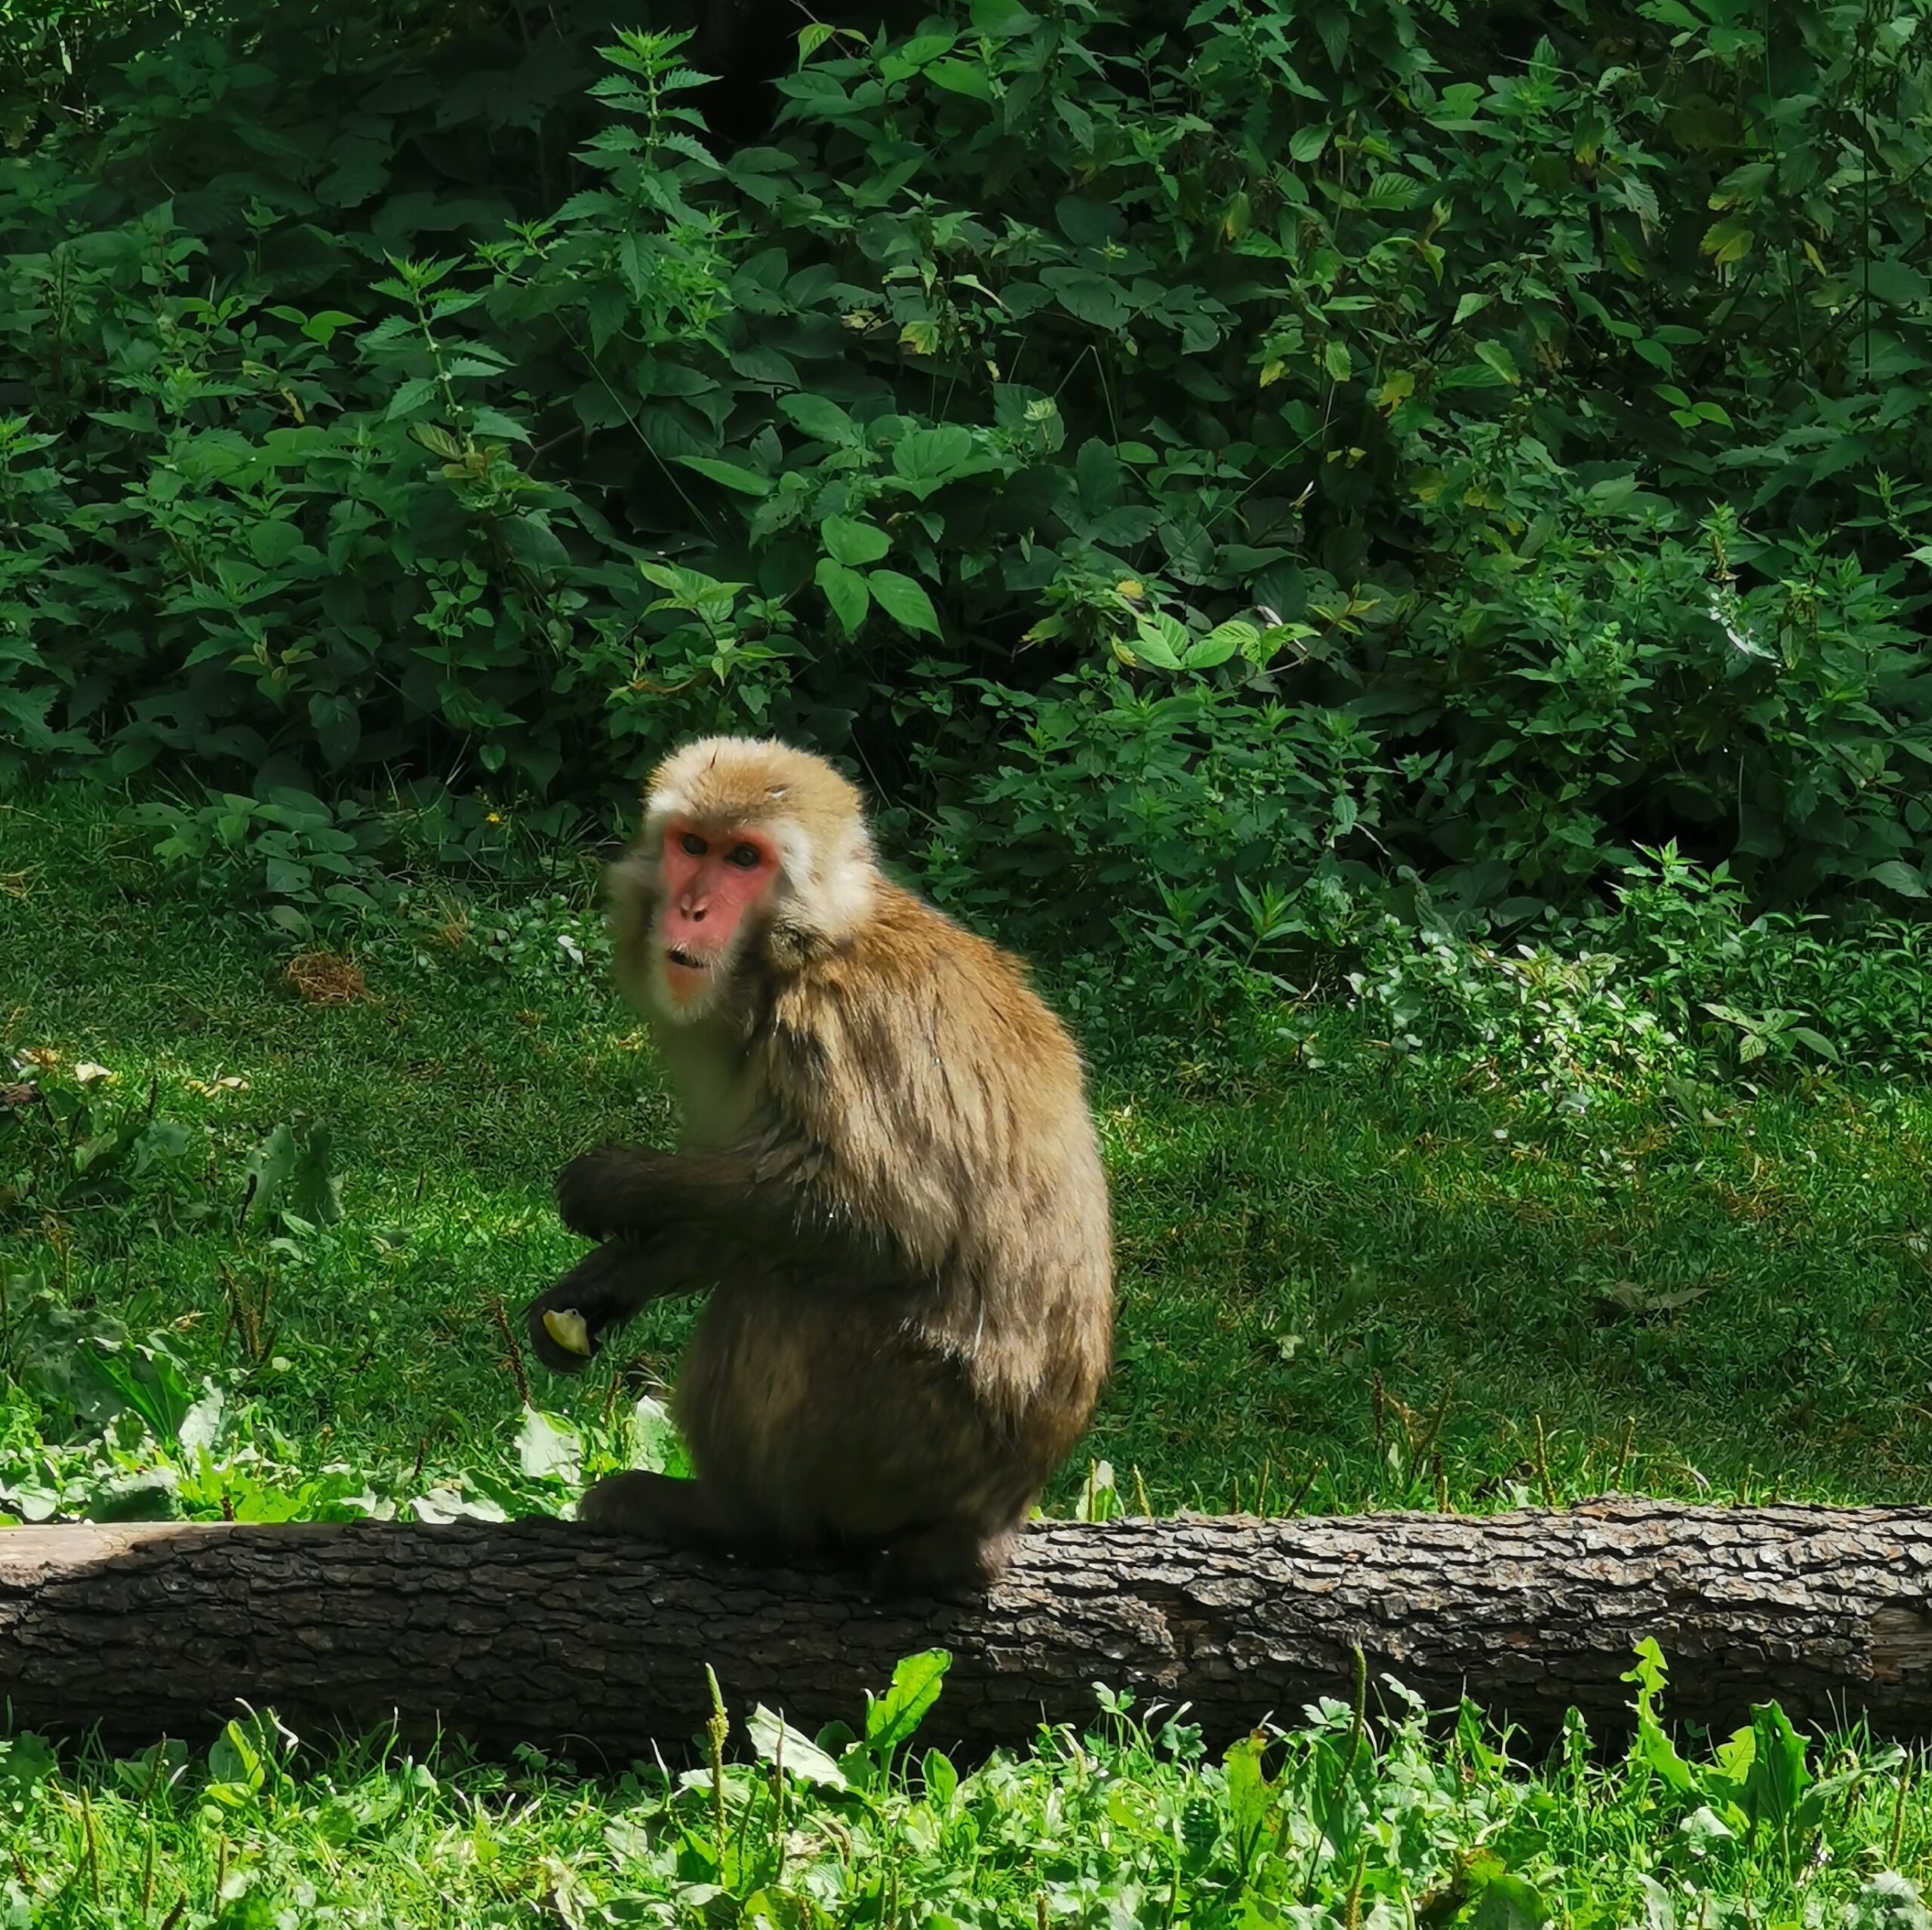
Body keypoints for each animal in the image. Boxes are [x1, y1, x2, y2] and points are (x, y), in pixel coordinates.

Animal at [521, 734, 1120, 1600]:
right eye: (691, 845)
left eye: (744, 857)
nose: (692, 908)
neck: (795, 949)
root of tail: (1001, 1511)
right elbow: (730, 1218)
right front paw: (595, 1291)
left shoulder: (828, 1025)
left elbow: (887, 1221)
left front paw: (618, 1182)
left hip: (908, 1437)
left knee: (781, 1285)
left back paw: (737, 1519)